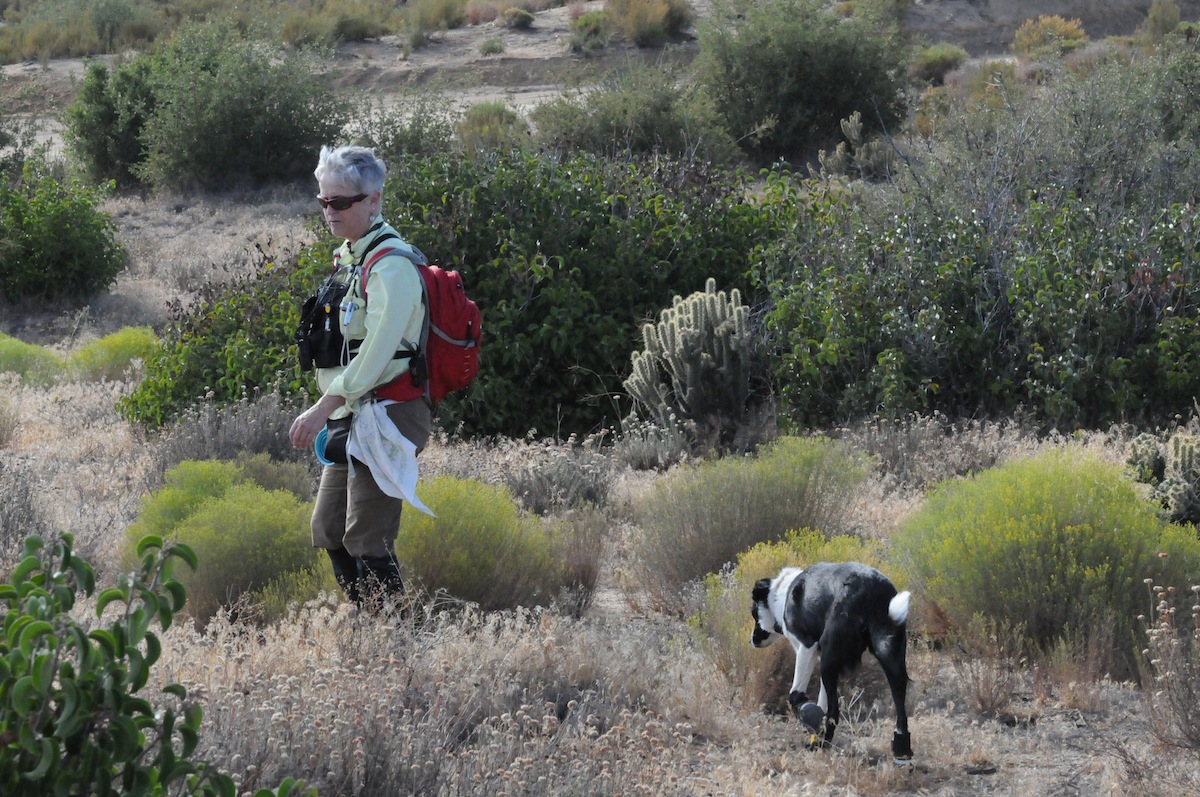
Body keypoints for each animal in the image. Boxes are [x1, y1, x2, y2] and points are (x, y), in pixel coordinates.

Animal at [751, 561, 913, 763]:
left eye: (753, 614)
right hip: (890, 656)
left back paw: (823, 744)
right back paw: (901, 752)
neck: (782, 592)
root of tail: (871, 590)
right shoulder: (821, 659)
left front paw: (809, 718)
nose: (752, 640)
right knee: (900, 707)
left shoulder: (807, 647)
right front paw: (815, 731)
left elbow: (796, 695)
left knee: (835, 711)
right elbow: (823, 703)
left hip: (829, 658)